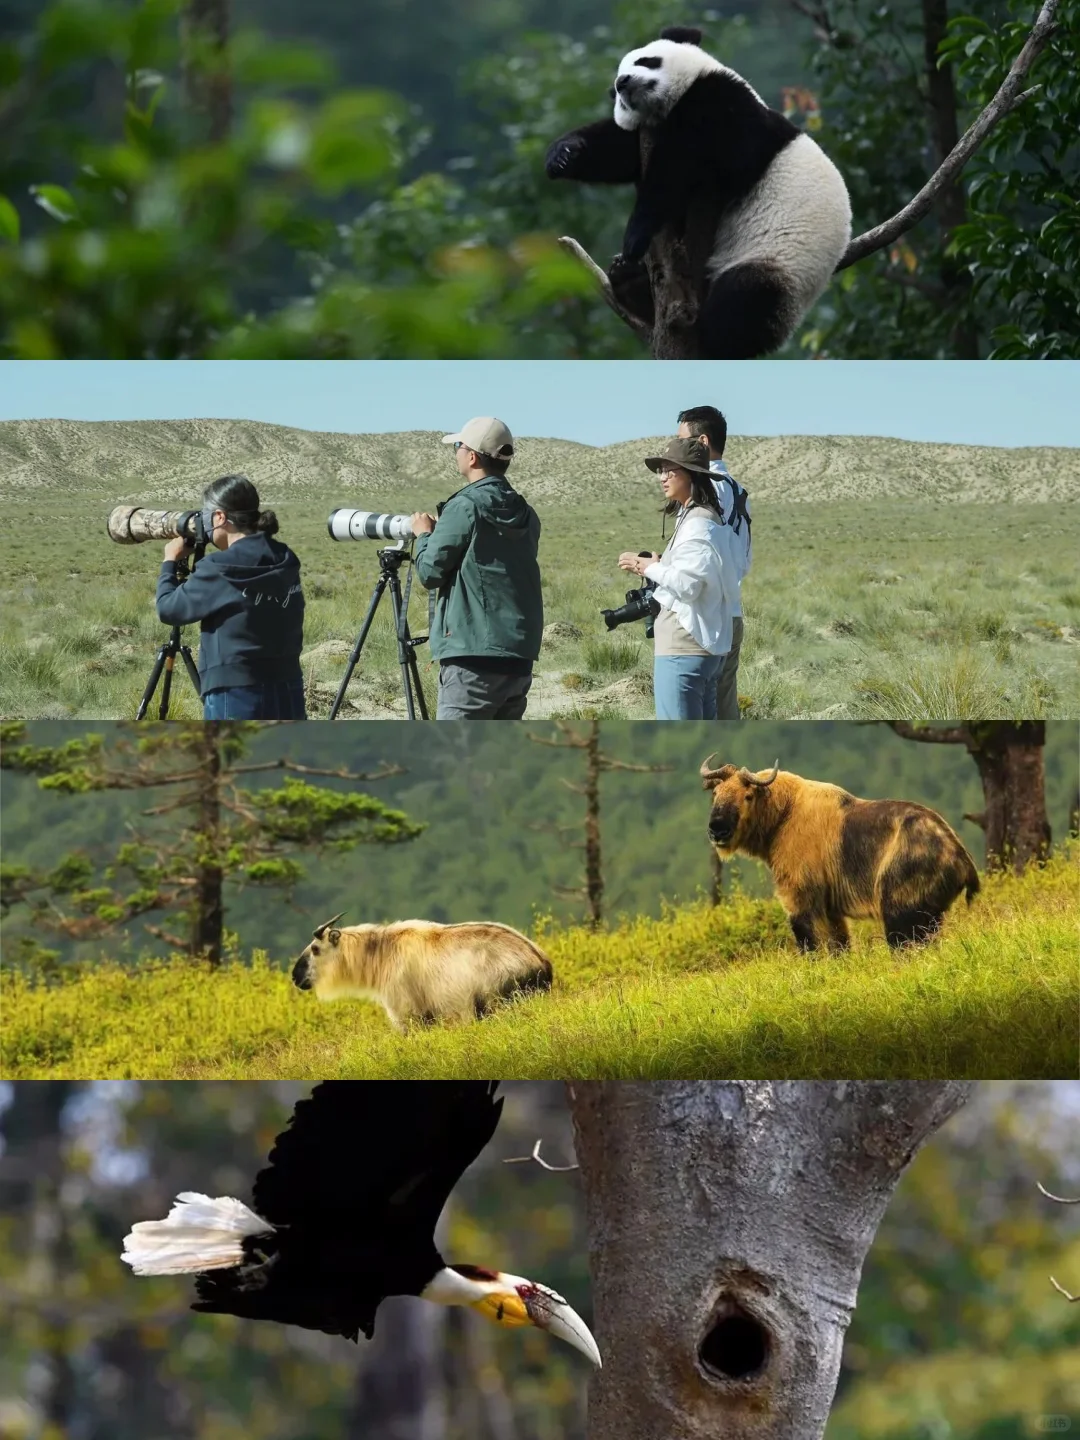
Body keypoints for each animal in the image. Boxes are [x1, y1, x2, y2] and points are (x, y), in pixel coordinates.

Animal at [550, 27, 852, 357]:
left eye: (646, 60)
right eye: (616, 91)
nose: (623, 82)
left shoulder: (726, 104)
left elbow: (688, 165)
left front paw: (635, 235)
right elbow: (622, 152)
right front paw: (564, 155)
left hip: (780, 263)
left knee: (744, 301)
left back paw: (710, 335)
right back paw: (631, 282)